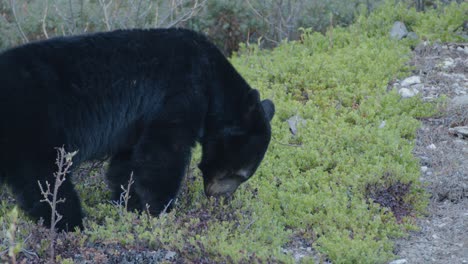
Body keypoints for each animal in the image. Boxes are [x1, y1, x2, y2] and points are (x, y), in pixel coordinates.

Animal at [0, 28, 274, 231]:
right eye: (239, 174)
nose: (219, 200)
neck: (211, 75)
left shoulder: (137, 121)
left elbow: (128, 162)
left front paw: (128, 203)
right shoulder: (182, 91)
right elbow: (164, 152)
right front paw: (161, 209)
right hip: (36, 127)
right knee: (45, 180)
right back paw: (70, 223)